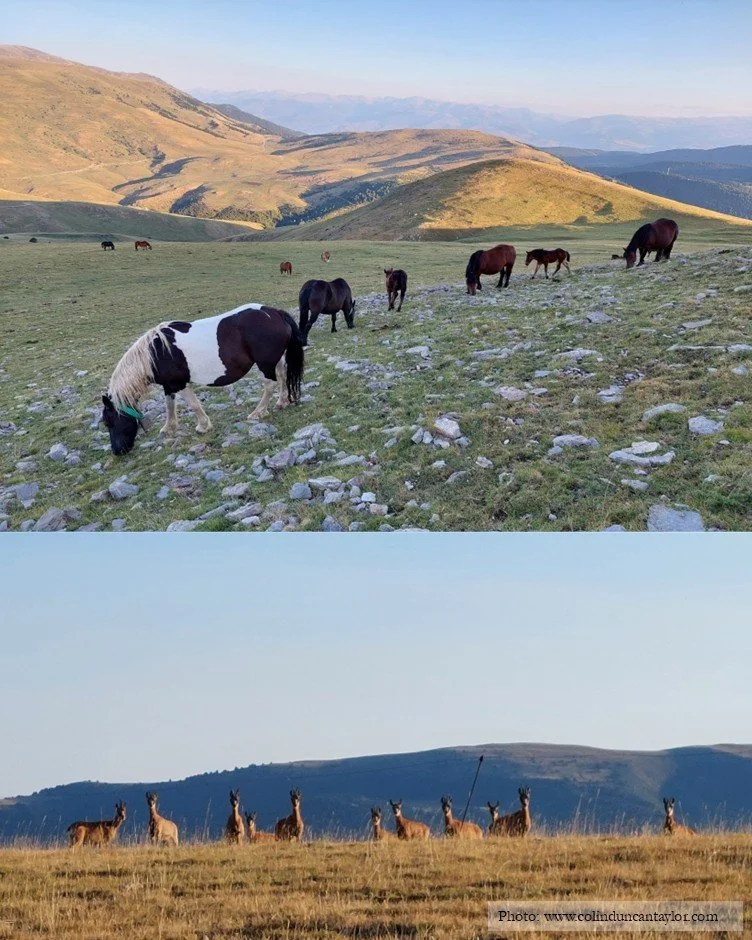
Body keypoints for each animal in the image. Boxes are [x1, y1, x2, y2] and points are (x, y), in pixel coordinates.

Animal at [101, 303, 305, 456]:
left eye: (109, 421)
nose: (118, 451)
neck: (155, 353)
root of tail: (274, 313)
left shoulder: (180, 384)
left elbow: (193, 404)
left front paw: (203, 426)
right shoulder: (169, 385)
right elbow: (169, 405)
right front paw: (169, 428)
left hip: (264, 364)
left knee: (269, 384)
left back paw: (258, 412)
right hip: (274, 360)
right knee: (282, 376)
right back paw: (282, 402)